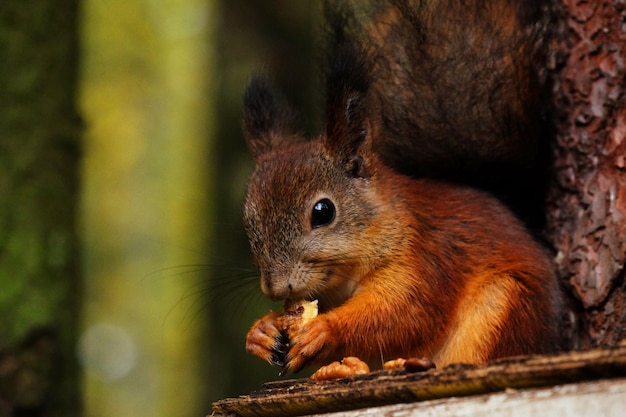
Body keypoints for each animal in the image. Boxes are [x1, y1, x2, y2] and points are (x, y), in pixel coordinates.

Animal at [241, 0, 560, 372]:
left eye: (323, 212)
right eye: (249, 223)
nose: (277, 289)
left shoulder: (426, 257)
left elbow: (405, 312)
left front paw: (324, 329)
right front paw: (261, 331)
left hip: (504, 305)